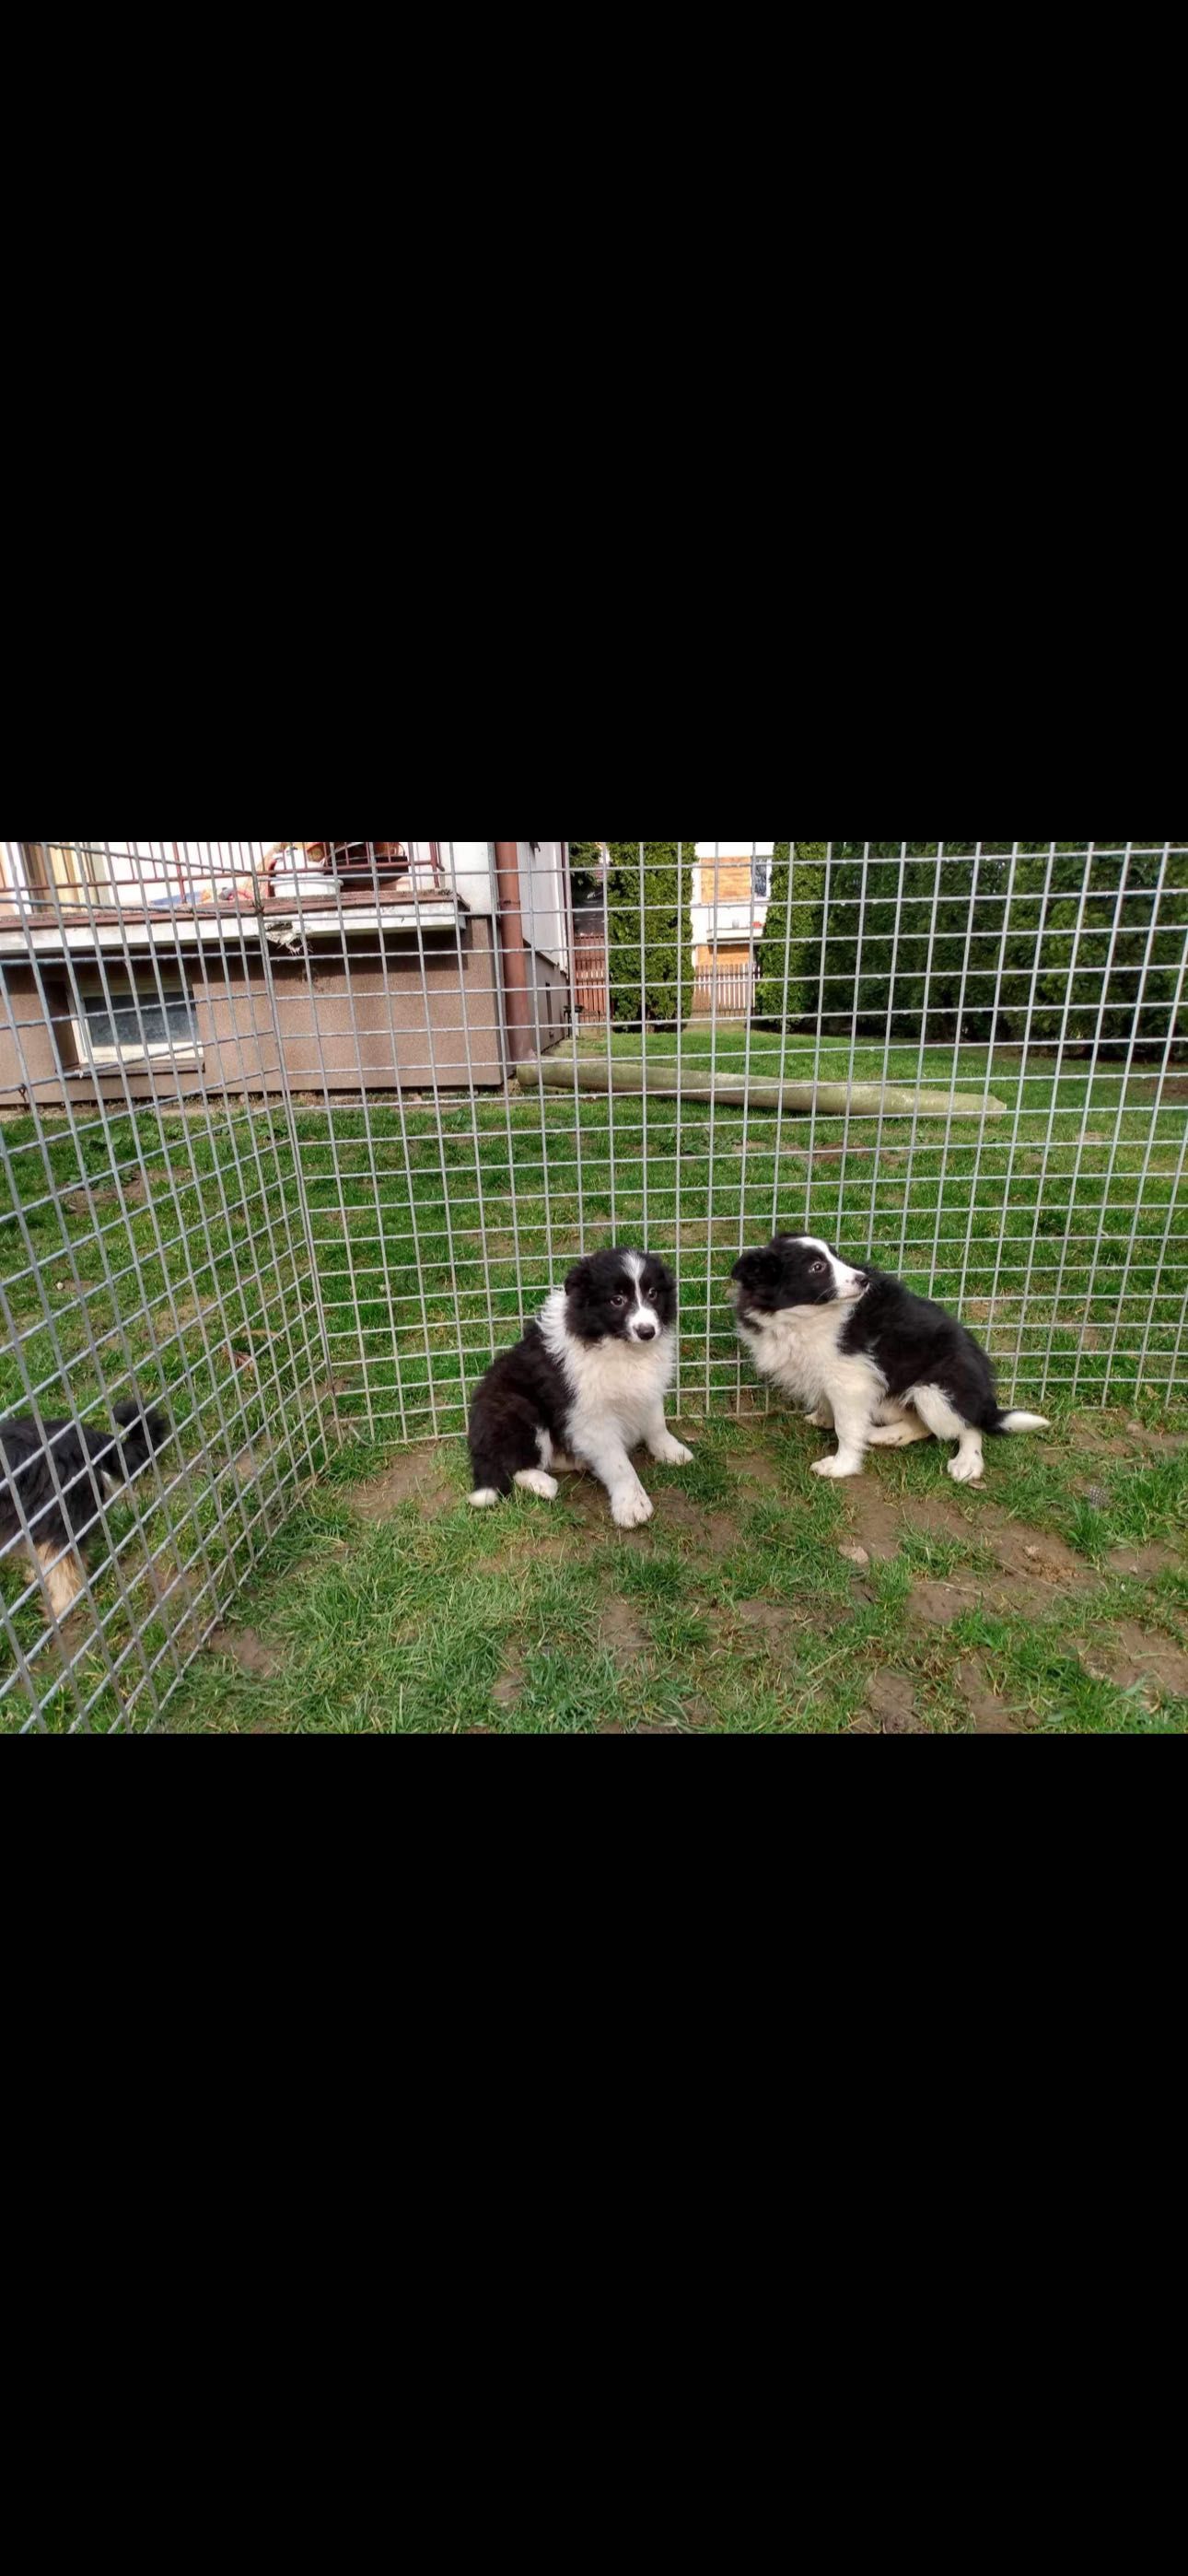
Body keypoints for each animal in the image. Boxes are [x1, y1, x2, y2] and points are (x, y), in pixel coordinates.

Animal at [466, 1251, 690, 1525]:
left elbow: (657, 1423)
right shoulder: (590, 1415)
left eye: (653, 1294)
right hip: (518, 1409)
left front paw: (672, 1451)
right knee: (512, 1464)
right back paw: (544, 1484)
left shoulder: (649, 1387)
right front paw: (632, 1506)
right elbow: (619, 1464)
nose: (647, 1331)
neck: (619, 1346)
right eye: (617, 1300)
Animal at [721, 1231, 1046, 1483]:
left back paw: (967, 1461)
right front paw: (824, 1417)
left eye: (836, 1257)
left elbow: (846, 1427)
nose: (864, 1280)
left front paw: (841, 1466)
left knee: (969, 1423)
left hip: (935, 1392)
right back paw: (884, 1436)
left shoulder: (850, 1380)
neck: (802, 1316)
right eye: (817, 1267)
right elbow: (830, 1405)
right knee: (922, 1425)